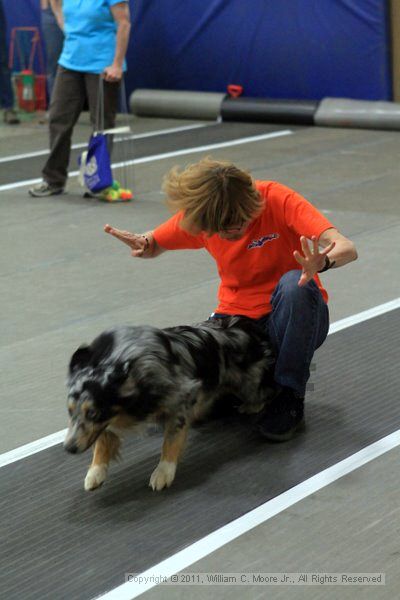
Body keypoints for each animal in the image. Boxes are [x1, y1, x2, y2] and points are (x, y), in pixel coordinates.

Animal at [64, 316, 276, 490]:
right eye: (70, 411)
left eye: (93, 413)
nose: (69, 448)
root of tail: (246, 324)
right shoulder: (106, 420)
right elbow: (102, 441)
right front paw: (95, 472)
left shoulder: (182, 397)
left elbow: (171, 440)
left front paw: (164, 472)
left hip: (249, 383)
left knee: (264, 392)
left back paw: (252, 405)